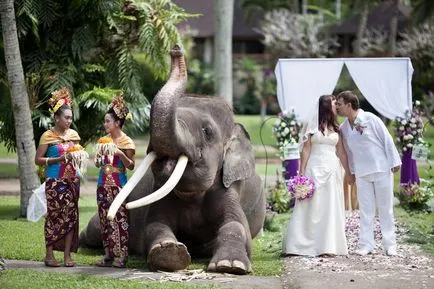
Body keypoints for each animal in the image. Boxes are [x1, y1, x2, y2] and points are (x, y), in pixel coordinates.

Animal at [79, 45, 266, 274]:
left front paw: (229, 265)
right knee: (94, 230)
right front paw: (169, 252)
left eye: (207, 131)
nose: (176, 49)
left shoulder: (229, 187)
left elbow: (236, 225)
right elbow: (155, 225)